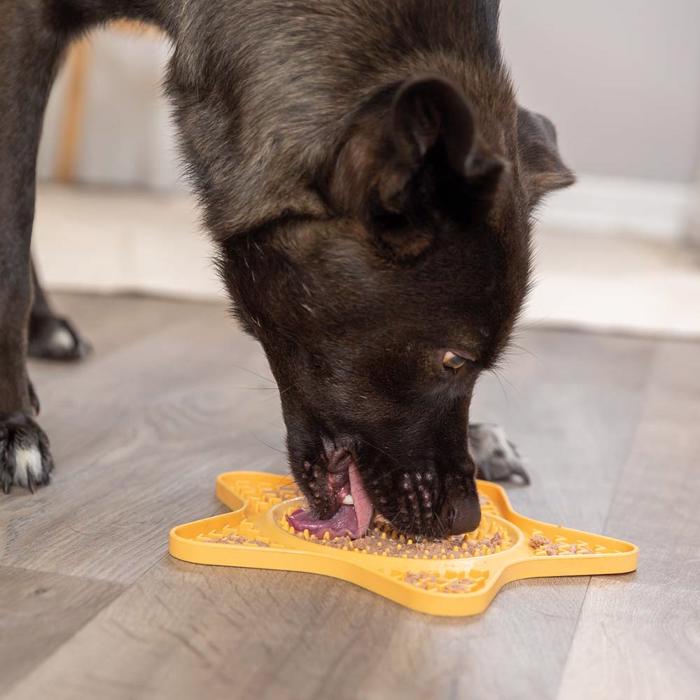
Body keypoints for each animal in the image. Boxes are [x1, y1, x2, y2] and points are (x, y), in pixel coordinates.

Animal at [1, 1, 576, 536]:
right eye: (454, 359)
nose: (465, 519)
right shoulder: (24, 26)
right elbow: (13, 241)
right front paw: (13, 426)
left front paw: (481, 437)